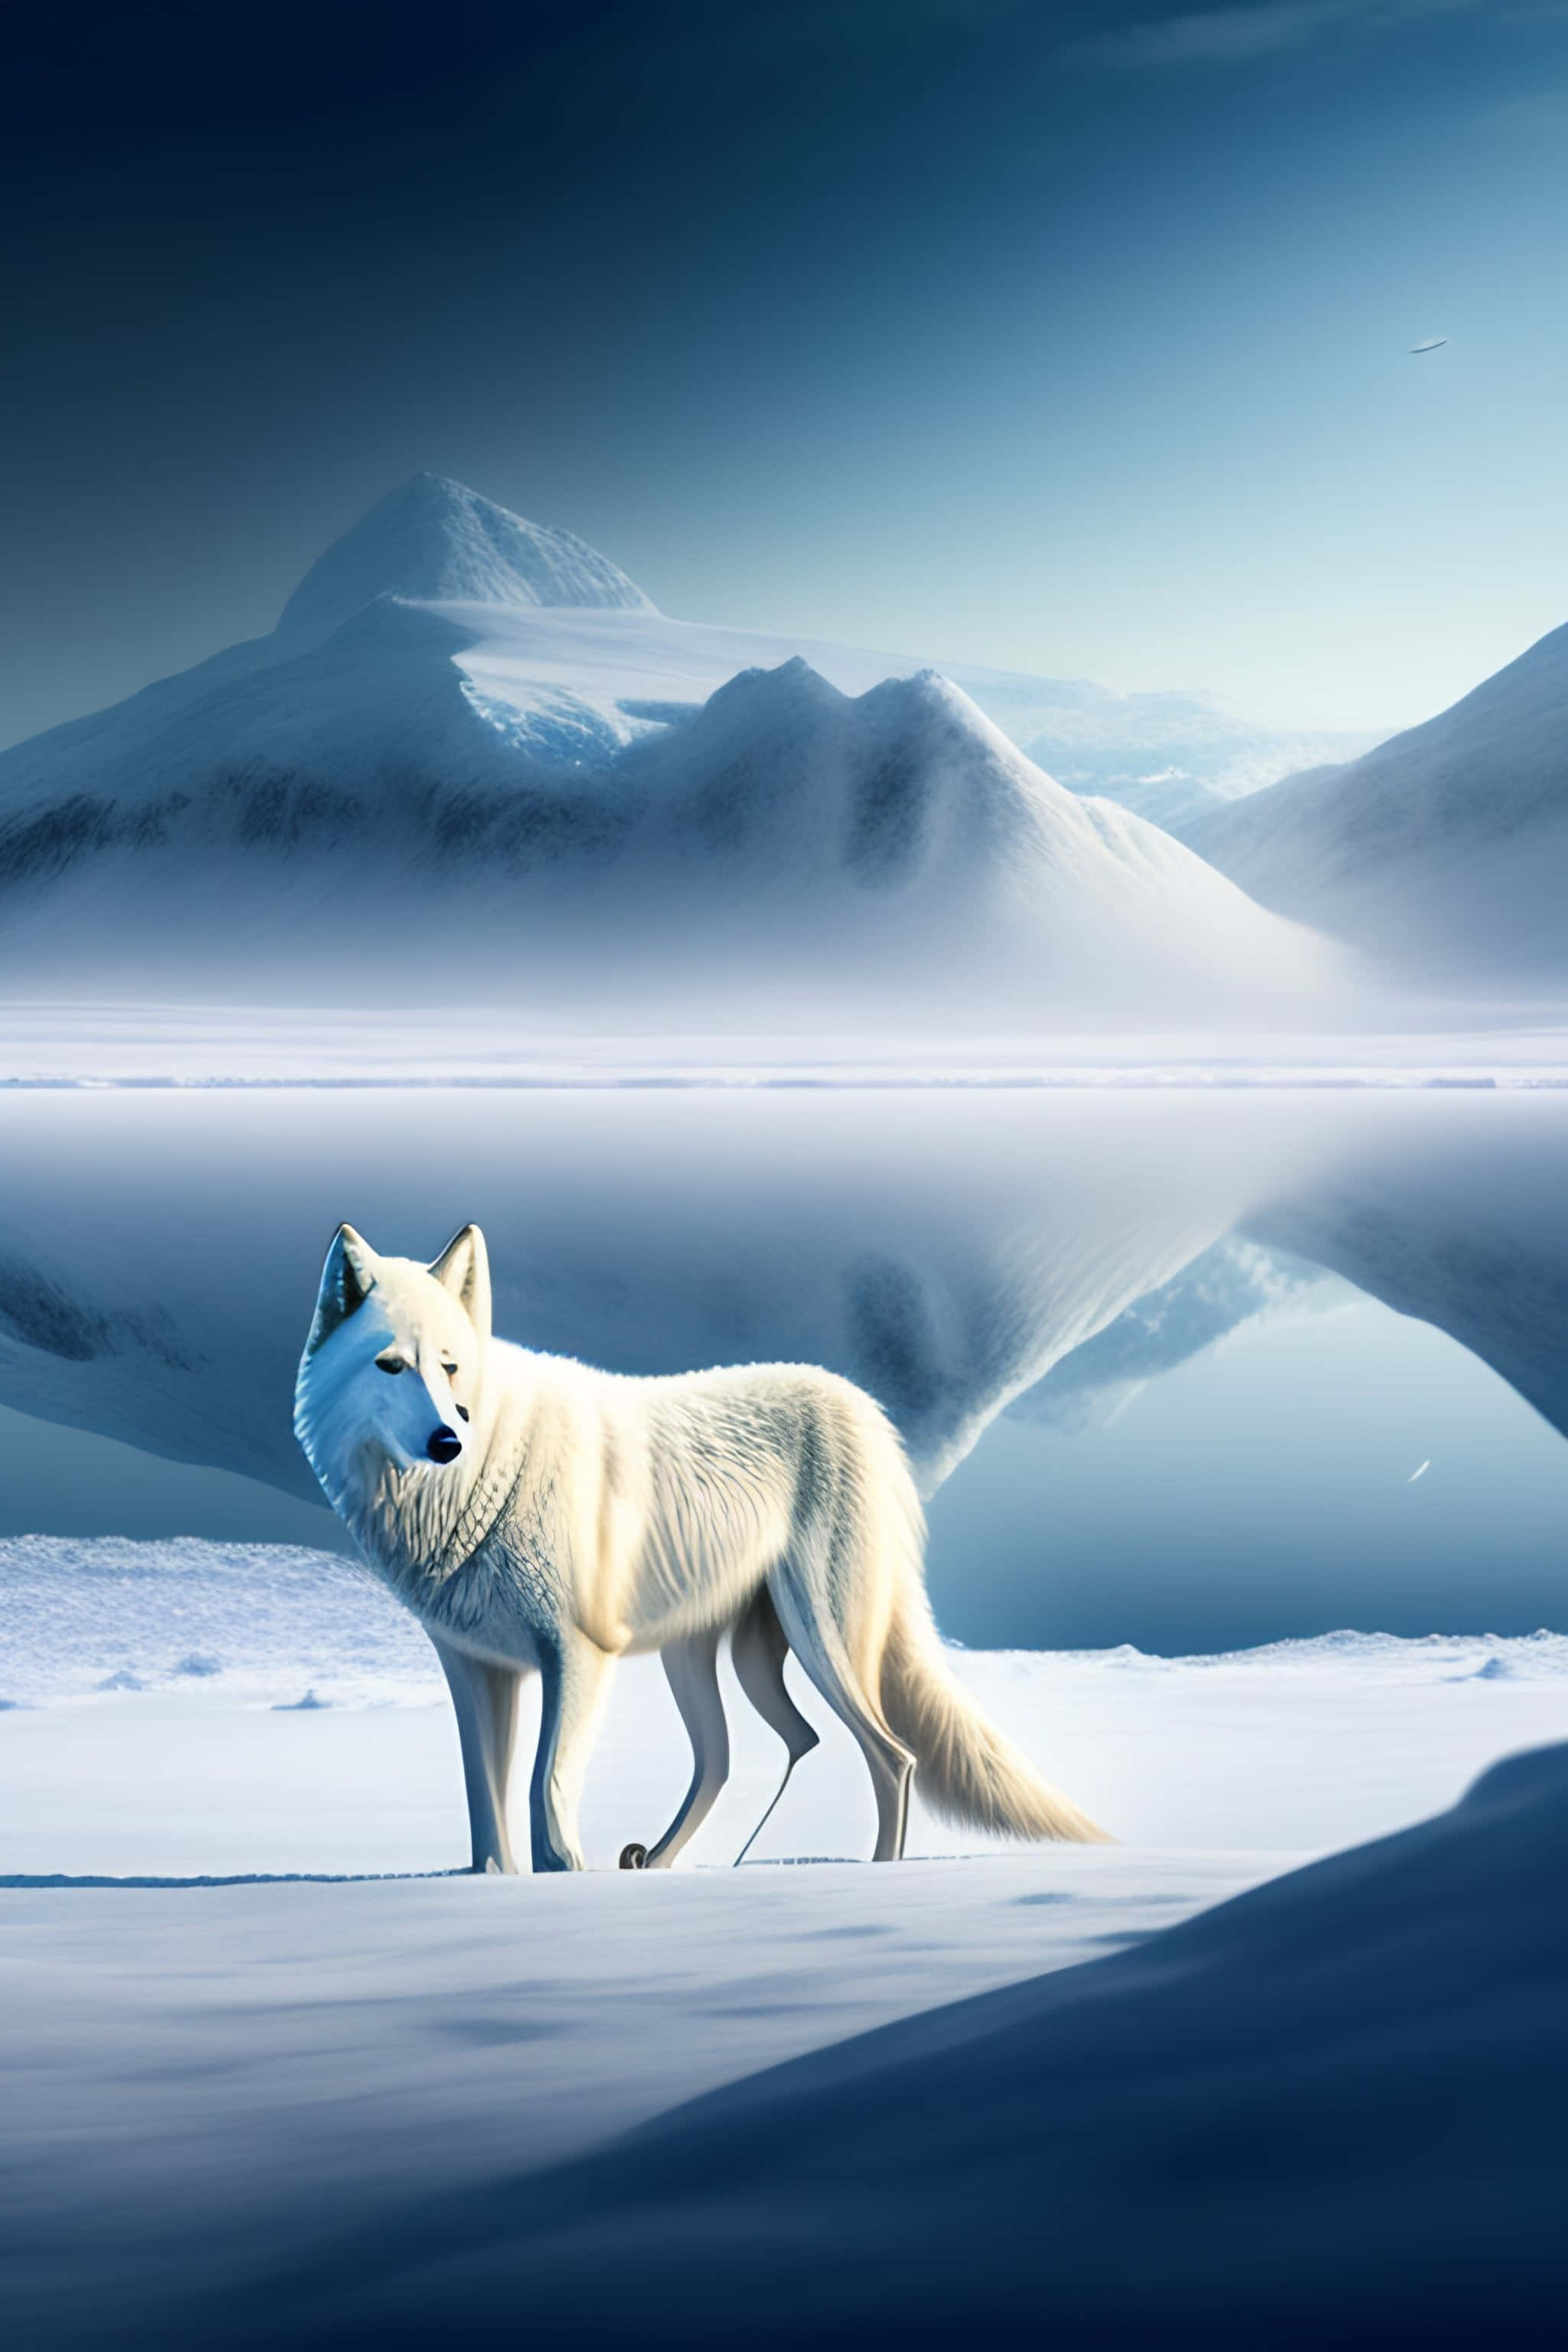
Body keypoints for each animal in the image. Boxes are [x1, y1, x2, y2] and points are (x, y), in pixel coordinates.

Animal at [294, 1221, 1106, 1872]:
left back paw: (872, 1877)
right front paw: (495, 1893)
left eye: (451, 1365)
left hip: (819, 1639)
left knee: (890, 1756)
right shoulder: (475, 1668)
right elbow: (485, 1817)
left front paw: (563, 1887)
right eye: (391, 1366)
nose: (448, 1440)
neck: (481, 1481)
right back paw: (672, 1865)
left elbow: (543, 1795)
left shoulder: (577, 1655)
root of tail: (864, 1406)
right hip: (713, 1657)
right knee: (758, 1752)